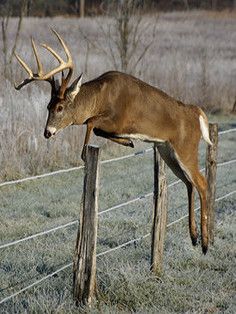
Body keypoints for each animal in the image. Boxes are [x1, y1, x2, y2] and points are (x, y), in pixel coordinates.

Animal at [15, 30, 213, 255]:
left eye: (60, 107)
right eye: (48, 106)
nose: (47, 132)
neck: (101, 97)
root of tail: (197, 113)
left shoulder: (119, 119)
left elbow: (91, 122)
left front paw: (86, 151)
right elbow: (95, 126)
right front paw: (128, 142)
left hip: (186, 148)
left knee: (202, 183)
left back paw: (205, 243)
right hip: (167, 151)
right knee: (189, 183)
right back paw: (194, 236)